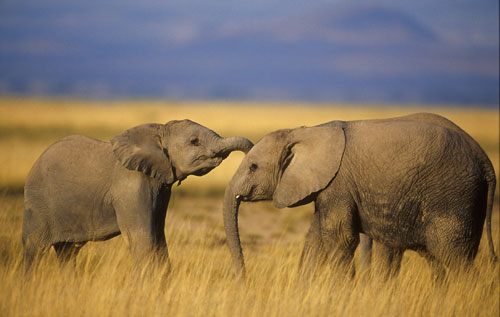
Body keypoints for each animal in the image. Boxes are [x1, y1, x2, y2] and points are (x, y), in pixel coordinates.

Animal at [22, 118, 254, 270]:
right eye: (194, 142)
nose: (251, 163)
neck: (158, 132)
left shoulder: (161, 187)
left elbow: (158, 237)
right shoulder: (131, 187)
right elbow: (143, 238)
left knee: (67, 253)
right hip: (37, 203)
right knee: (34, 250)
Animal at [226, 112, 496, 278]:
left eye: (253, 167)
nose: (245, 280)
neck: (306, 131)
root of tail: (485, 161)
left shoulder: (338, 183)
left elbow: (339, 237)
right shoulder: (326, 187)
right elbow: (315, 237)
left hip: (453, 197)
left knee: (453, 256)